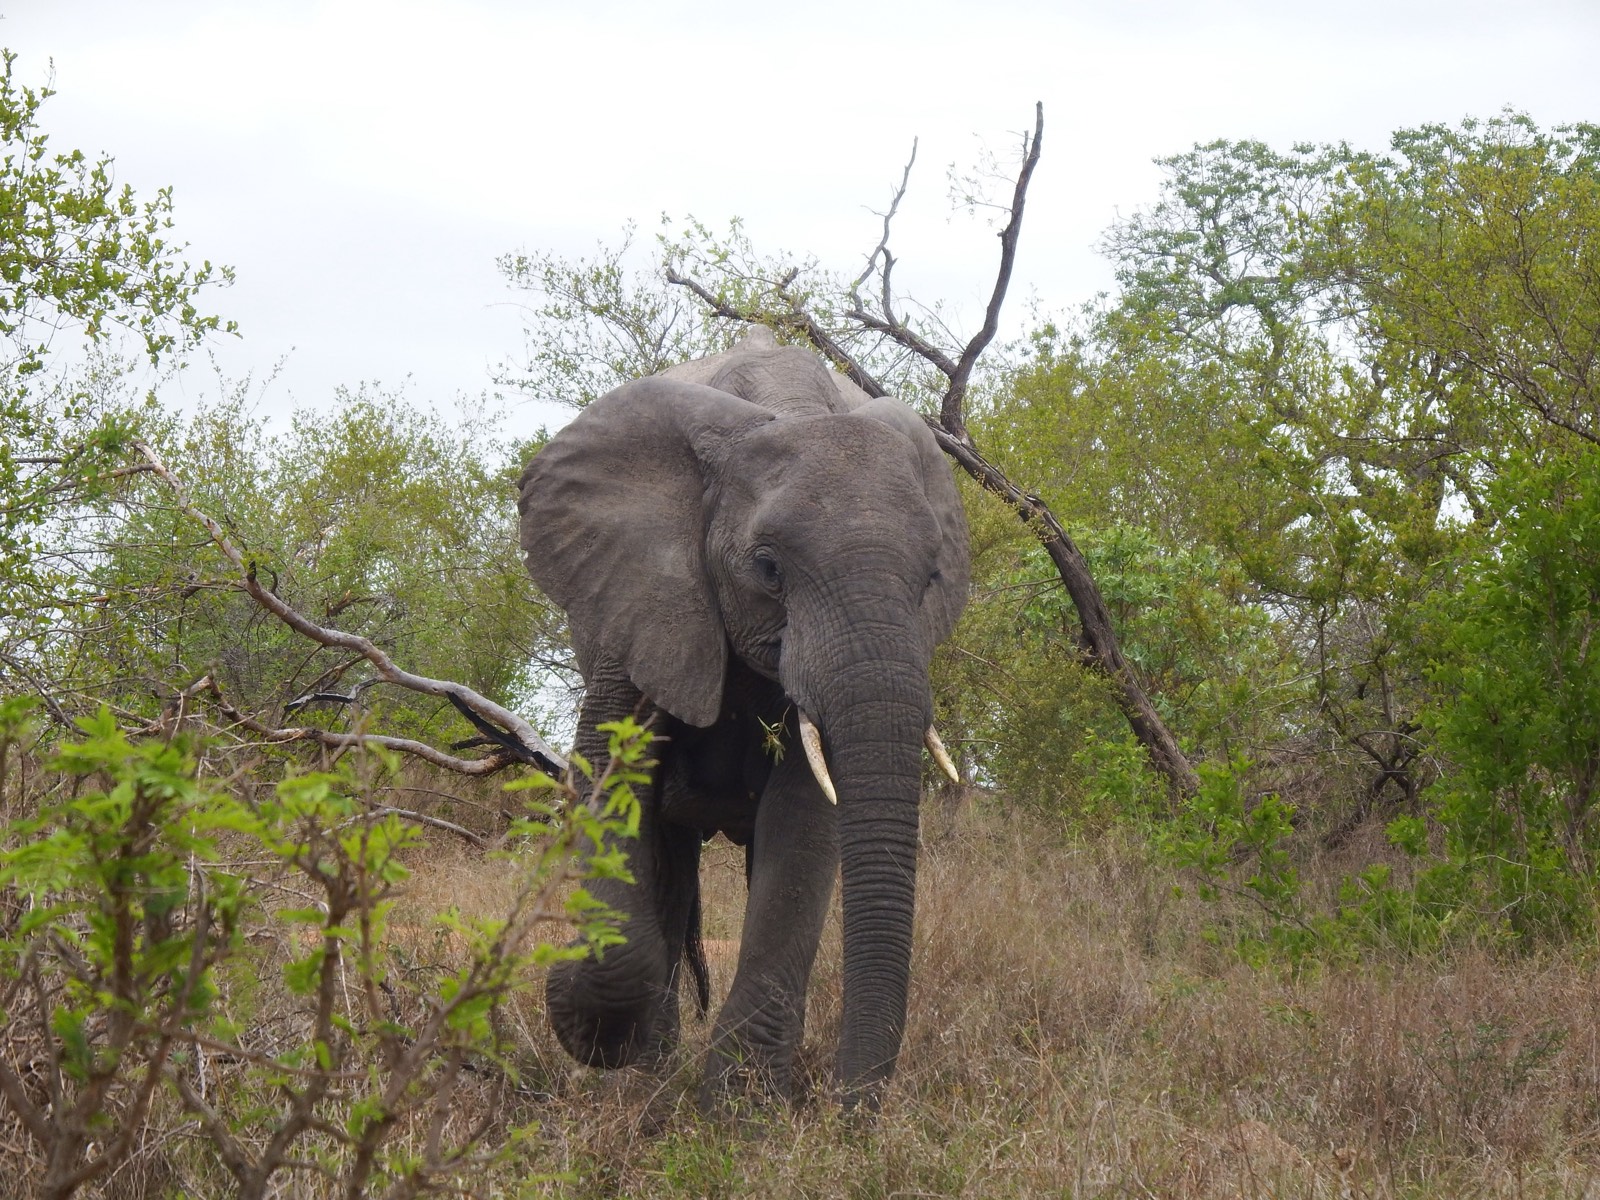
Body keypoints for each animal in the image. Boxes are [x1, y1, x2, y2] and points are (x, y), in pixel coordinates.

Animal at [516, 326, 969, 1107]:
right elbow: (610, 776)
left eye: (932, 579)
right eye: (768, 569)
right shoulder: (641, 597)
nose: (847, 1107)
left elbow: (804, 823)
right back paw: (648, 1077)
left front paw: (740, 1112)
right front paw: (597, 1027)